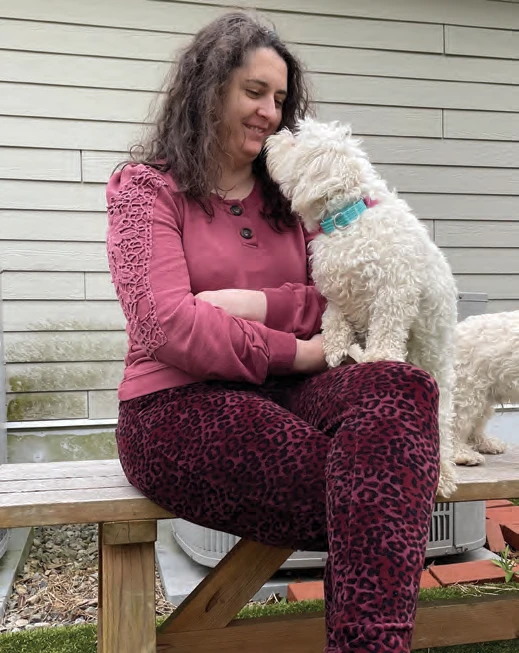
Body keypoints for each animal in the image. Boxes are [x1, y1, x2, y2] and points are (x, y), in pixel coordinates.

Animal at [268, 117, 460, 496]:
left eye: (296, 141)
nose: (272, 138)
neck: (347, 220)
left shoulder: (395, 288)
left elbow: (386, 325)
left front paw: (377, 356)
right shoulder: (336, 294)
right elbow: (333, 318)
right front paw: (335, 348)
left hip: (438, 375)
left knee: (443, 430)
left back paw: (445, 475)